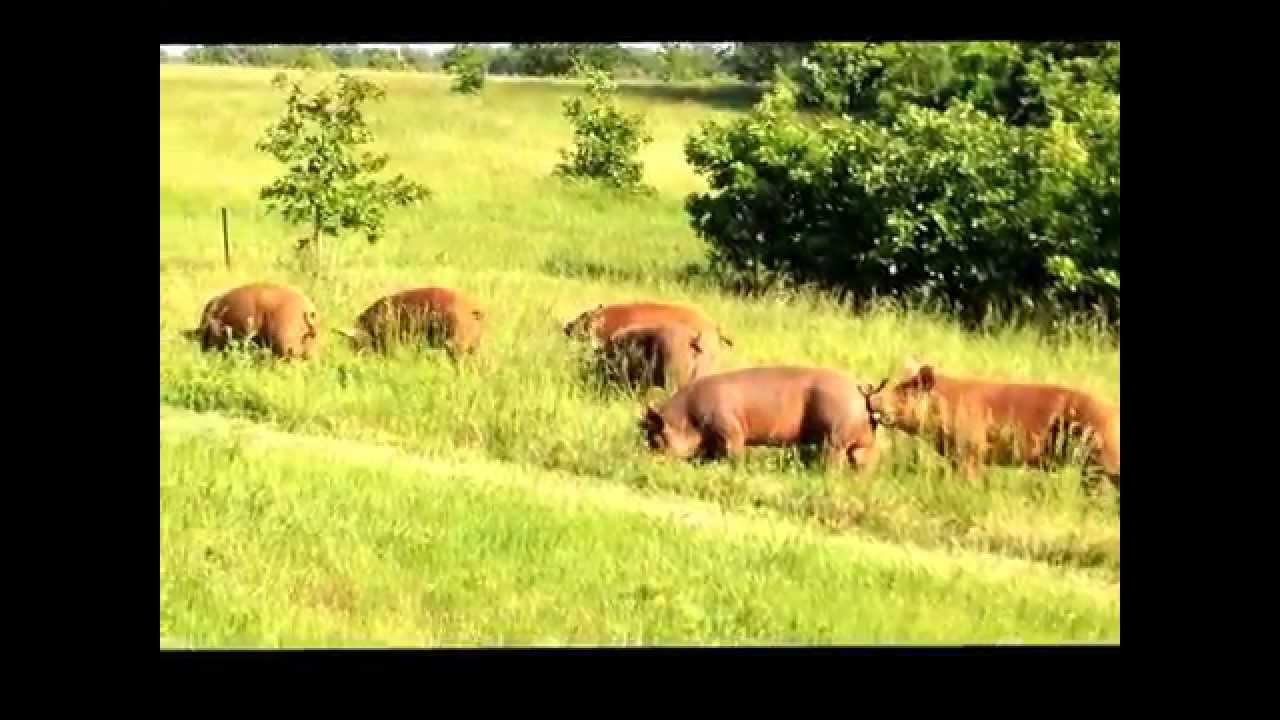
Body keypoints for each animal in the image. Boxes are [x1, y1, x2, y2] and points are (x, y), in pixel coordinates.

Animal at [639, 366, 883, 472]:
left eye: (655, 438)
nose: (642, 460)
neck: (688, 418)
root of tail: (863, 395)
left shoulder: (730, 429)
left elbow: (734, 455)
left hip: (835, 439)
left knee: (833, 463)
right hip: (861, 445)